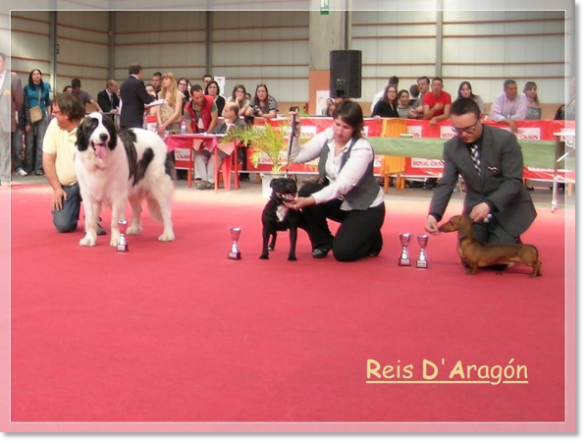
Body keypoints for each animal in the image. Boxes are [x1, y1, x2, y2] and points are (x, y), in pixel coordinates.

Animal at [73, 112, 173, 248]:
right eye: (92, 125)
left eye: (107, 125)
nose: (104, 136)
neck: (99, 163)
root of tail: (158, 137)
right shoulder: (89, 196)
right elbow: (90, 220)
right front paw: (90, 239)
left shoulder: (117, 194)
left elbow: (115, 220)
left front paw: (116, 239)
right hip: (132, 187)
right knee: (138, 208)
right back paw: (134, 228)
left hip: (159, 184)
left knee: (165, 211)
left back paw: (168, 234)